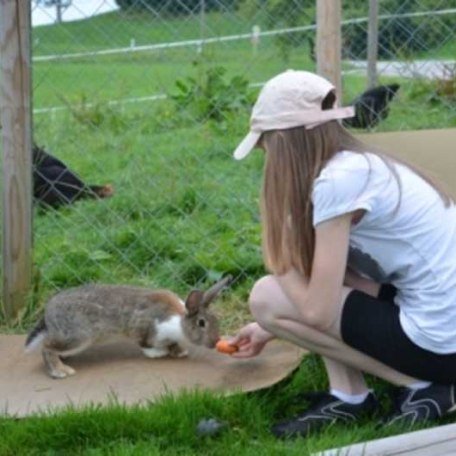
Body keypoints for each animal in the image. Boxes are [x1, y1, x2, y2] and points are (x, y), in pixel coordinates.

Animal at [25, 276, 232, 380]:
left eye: (216, 319)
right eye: (202, 323)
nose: (215, 341)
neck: (179, 322)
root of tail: (48, 313)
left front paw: (179, 352)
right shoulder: (144, 327)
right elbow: (144, 344)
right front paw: (158, 354)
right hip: (77, 337)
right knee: (47, 348)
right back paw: (61, 371)